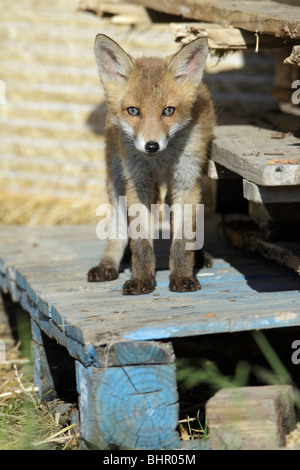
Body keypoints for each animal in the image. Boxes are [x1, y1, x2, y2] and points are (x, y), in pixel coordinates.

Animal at [87, 34, 216, 294]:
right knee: (118, 226)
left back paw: (198, 256)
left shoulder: (186, 181)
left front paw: (182, 276)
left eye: (168, 110)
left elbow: (182, 239)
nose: (152, 146)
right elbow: (141, 243)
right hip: (116, 178)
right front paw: (141, 279)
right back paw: (108, 263)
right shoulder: (138, 183)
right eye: (133, 110)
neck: (160, 161)